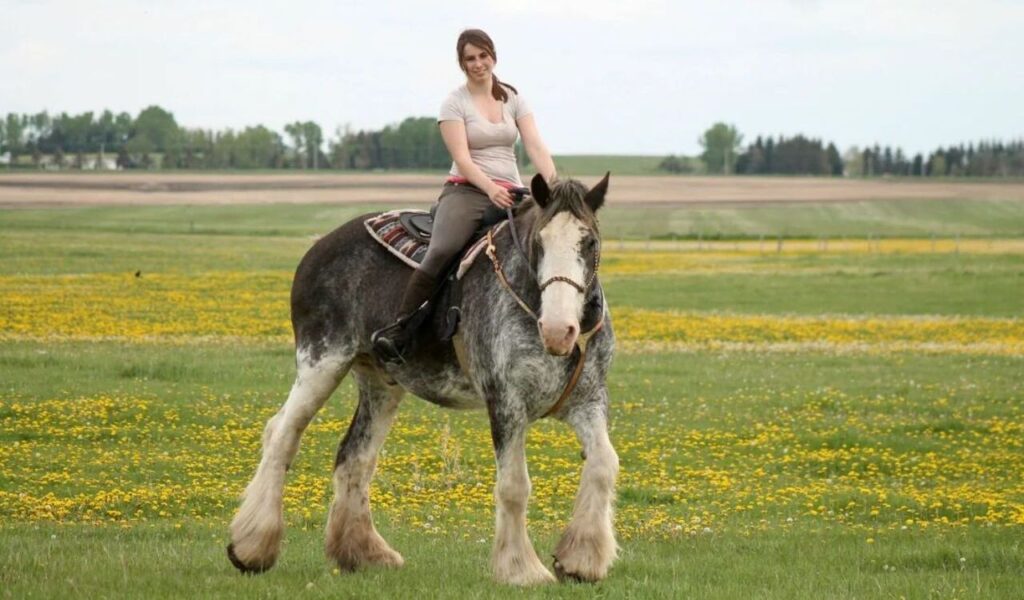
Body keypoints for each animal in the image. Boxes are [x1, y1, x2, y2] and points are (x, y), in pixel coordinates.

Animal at [227, 173, 618, 585]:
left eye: (589, 242)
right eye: (539, 243)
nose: (559, 330)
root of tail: (320, 246)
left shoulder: (587, 401)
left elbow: (603, 465)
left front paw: (580, 559)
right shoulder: (506, 403)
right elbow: (514, 485)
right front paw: (521, 569)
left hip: (380, 383)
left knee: (355, 456)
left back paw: (365, 553)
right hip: (322, 363)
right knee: (283, 434)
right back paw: (251, 548)